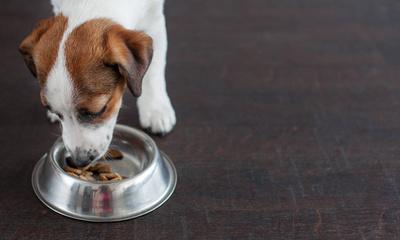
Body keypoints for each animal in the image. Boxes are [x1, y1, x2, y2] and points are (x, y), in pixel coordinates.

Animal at [18, 0, 175, 167]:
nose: (79, 161)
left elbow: (155, 70)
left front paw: (156, 108)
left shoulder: (154, 17)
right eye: (54, 110)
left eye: (98, 111)